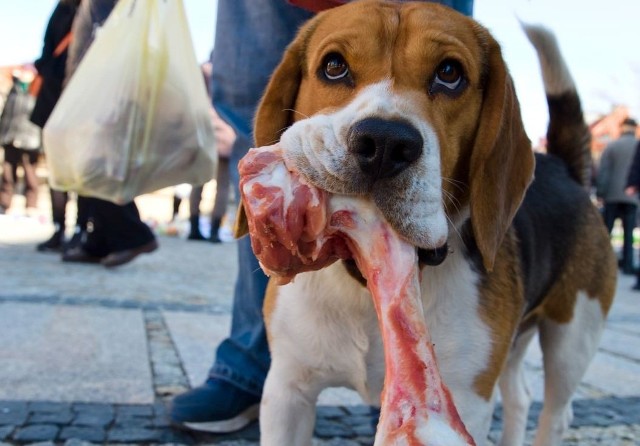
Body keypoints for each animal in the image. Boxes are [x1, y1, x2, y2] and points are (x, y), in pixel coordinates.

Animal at [238, 1, 616, 444]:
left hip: (572, 340)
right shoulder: (287, 390)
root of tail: (564, 169)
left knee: (556, 411)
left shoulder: (469, 399)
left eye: (450, 74)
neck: (366, 286)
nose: (384, 143)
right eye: (333, 66)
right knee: (521, 398)